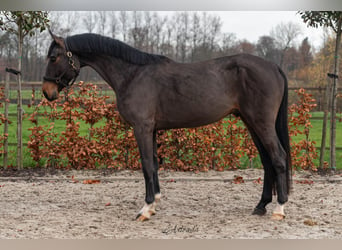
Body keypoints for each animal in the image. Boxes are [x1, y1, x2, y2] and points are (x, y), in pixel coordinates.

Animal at [42, 30, 292, 221]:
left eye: (53, 57)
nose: (47, 92)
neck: (133, 74)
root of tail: (273, 66)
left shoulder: (141, 128)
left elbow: (145, 165)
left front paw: (145, 209)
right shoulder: (151, 130)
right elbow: (153, 164)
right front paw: (154, 204)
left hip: (261, 123)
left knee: (278, 157)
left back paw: (279, 209)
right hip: (251, 122)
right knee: (267, 161)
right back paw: (261, 206)